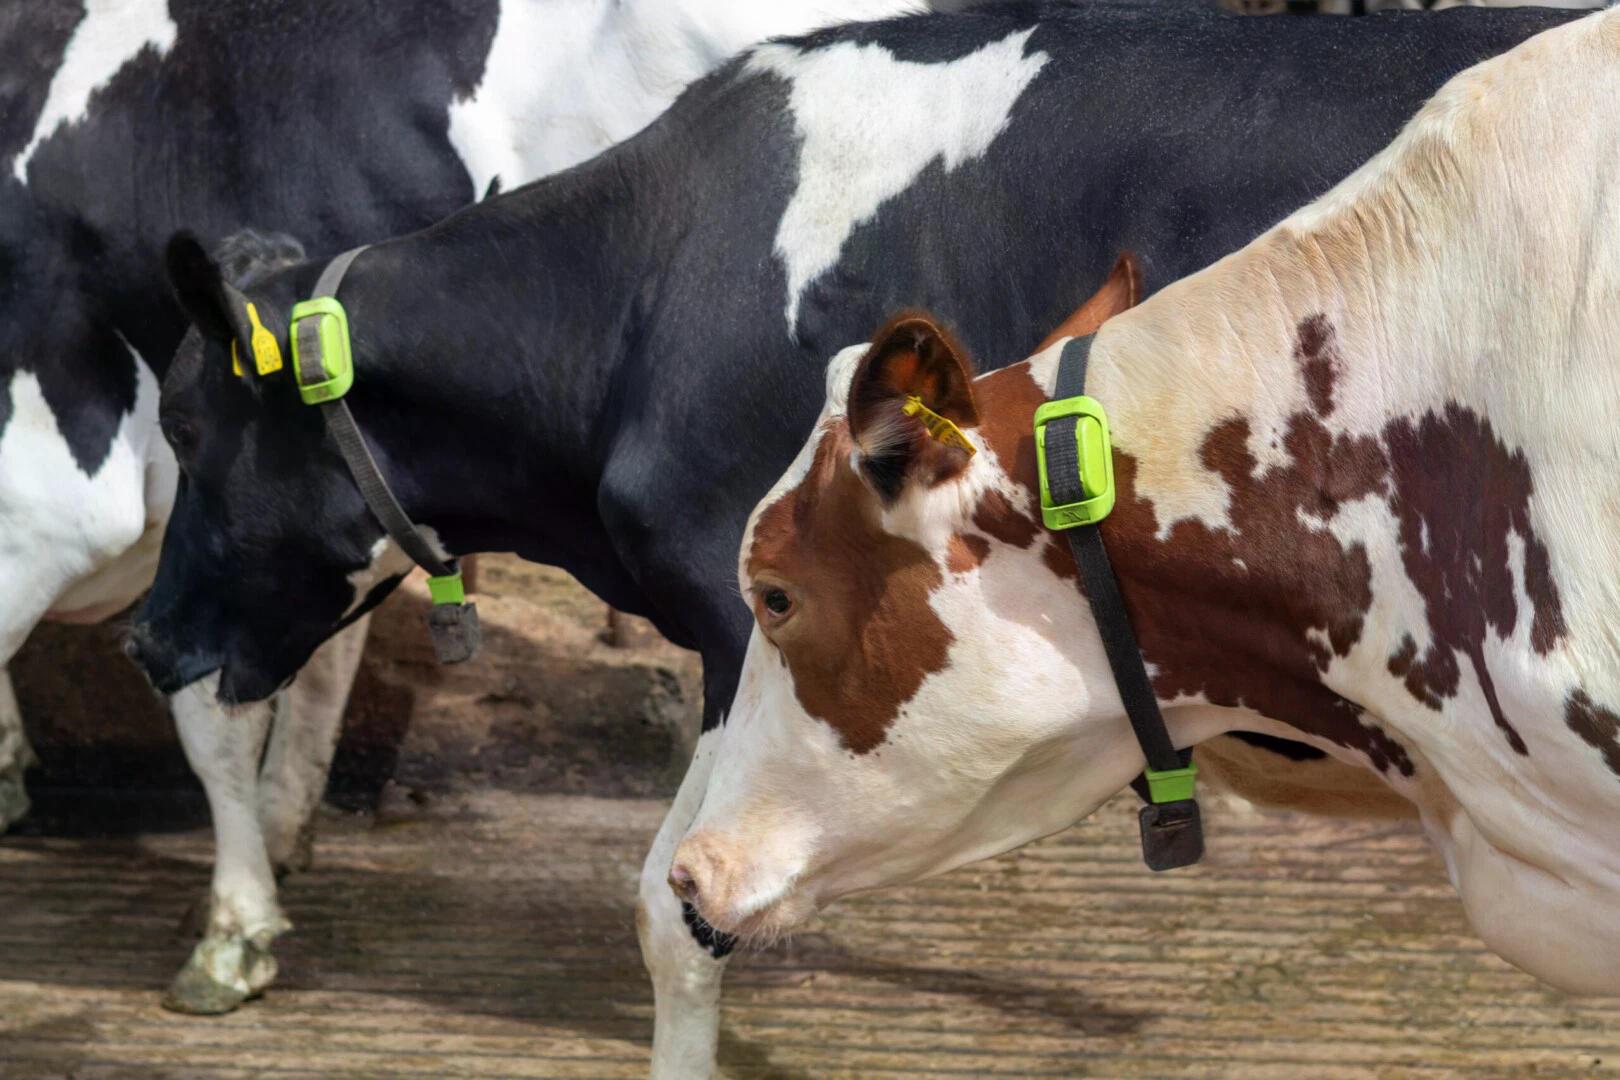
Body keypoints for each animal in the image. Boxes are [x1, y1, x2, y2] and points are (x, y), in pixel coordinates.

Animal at [0, 0, 923, 1016]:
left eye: (185, 425)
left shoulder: (67, 497)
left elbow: (211, 713)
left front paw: (232, 930)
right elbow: (308, 662)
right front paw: (278, 839)